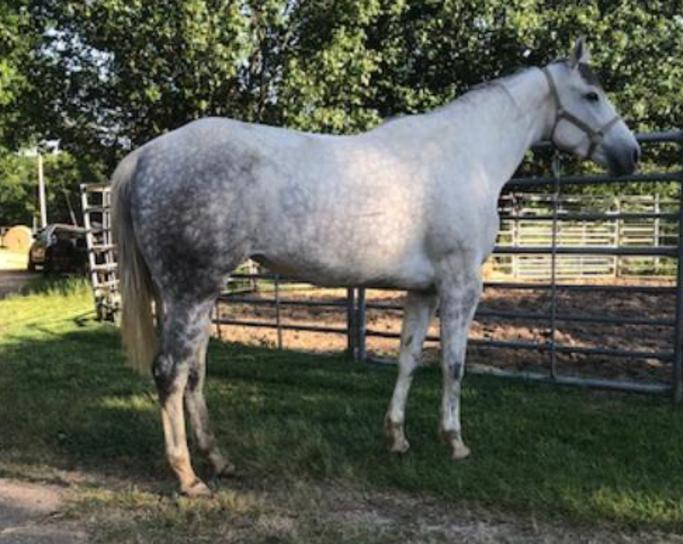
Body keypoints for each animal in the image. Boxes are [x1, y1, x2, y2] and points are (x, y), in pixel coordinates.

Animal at [111, 38, 640, 496]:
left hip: (196, 294)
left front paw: (397, 438)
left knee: (194, 371)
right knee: (171, 372)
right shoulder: (461, 285)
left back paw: (218, 460)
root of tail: (146, 156)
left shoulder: (424, 290)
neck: (467, 156)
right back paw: (187, 477)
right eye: (592, 94)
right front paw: (455, 442)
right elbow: (453, 364)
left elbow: (409, 359)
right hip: (192, 290)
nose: (631, 154)